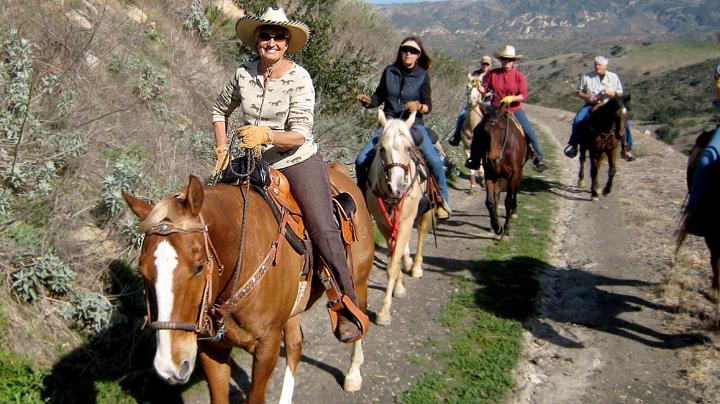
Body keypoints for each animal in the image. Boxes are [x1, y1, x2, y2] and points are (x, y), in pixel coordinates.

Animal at [121, 165, 374, 404]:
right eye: (142, 271)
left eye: (200, 267)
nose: (170, 366)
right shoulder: (212, 350)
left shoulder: (267, 346)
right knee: (295, 345)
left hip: (359, 282)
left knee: (359, 317)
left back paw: (353, 372)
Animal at [366, 109, 434, 326]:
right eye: (382, 149)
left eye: (408, 148)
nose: (397, 187)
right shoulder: (383, 223)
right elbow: (394, 257)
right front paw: (399, 286)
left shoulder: (406, 220)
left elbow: (392, 264)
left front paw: (384, 311)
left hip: (426, 210)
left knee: (421, 233)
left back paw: (417, 267)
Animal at [472, 102, 528, 238]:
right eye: (484, 130)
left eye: (501, 129)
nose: (492, 157)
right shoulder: (490, 174)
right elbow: (490, 201)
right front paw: (496, 226)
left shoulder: (513, 175)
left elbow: (508, 201)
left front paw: (506, 229)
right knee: (496, 196)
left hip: (518, 174)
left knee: (514, 192)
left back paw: (514, 212)